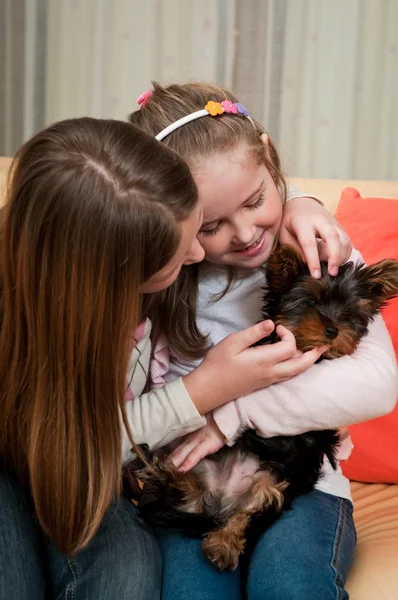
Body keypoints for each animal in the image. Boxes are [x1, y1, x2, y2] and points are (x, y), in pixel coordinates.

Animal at [134, 245, 398, 572]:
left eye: (349, 313)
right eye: (311, 302)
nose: (333, 330)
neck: (309, 354)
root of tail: (222, 502)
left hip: (278, 484)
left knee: (251, 514)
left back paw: (224, 543)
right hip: (202, 464)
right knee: (191, 495)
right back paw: (164, 473)